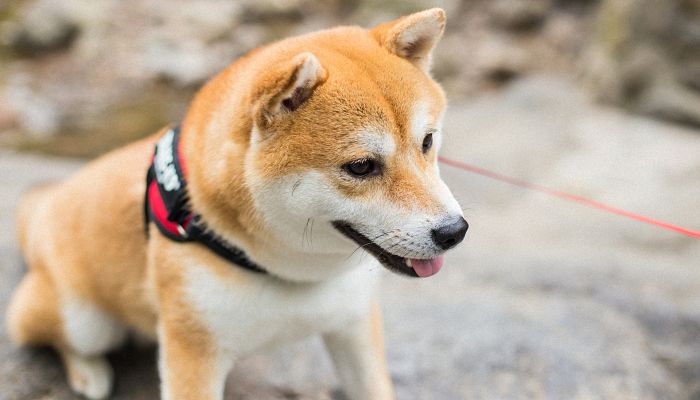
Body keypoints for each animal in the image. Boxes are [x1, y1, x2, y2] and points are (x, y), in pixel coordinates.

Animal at [5, 7, 468, 400]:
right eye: (360, 166)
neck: (288, 273)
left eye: (427, 141)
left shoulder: (353, 323)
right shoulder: (193, 352)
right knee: (46, 332)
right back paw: (89, 372)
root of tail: (51, 204)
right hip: (81, 319)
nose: (454, 231)